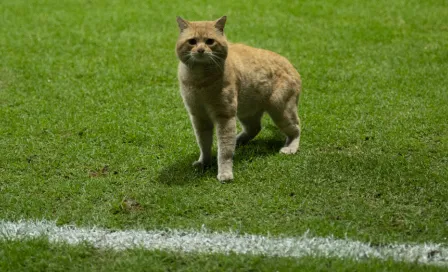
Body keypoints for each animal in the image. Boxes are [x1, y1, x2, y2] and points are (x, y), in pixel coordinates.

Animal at [175, 15, 300, 183]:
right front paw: (204, 162)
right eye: (192, 41)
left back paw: (290, 148)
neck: (200, 81)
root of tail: (292, 66)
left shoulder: (225, 116)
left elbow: (224, 149)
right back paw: (238, 141)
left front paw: (225, 172)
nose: (201, 50)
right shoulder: (198, 117)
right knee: (254, 128)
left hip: (281, 111)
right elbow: (204, 143)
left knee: (296, 129)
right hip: (247, 111)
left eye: (209, 41)